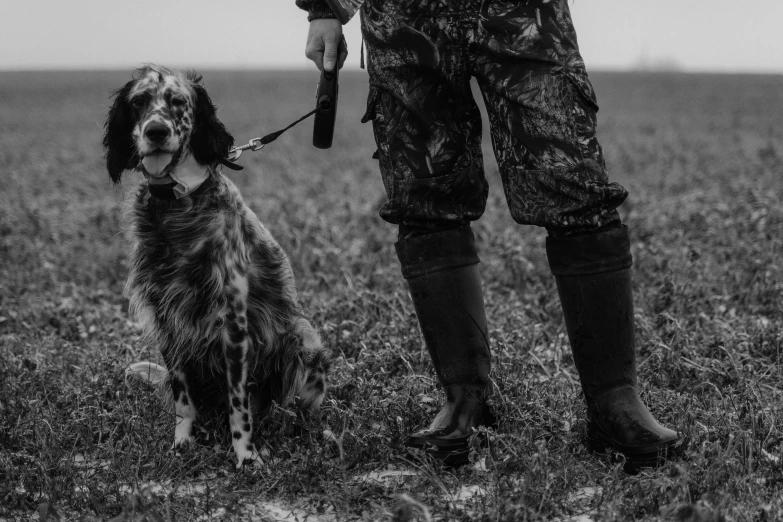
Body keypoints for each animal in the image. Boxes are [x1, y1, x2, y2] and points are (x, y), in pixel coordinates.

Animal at [102, 66, 330, 468]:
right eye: (139, 102)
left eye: (178, 101)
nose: (156, 131)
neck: (176, 204)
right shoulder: (167, 321)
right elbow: (183, 400)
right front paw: (183, 442)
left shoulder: (233, 323)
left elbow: (239, 405)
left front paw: (246, 456)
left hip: (303, 338)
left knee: (290, 409)